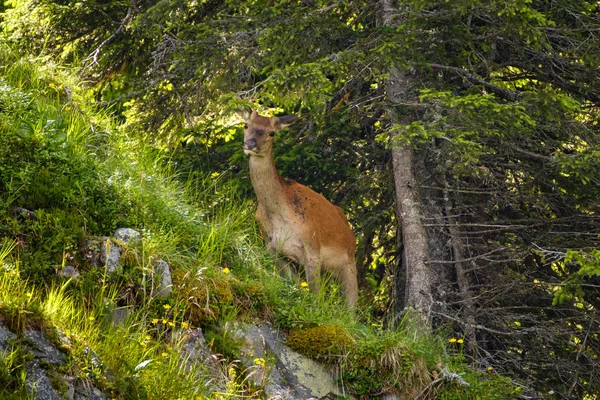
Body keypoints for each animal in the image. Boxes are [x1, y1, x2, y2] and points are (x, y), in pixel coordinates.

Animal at [243, 111, 358, 308]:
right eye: (246, 125)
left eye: (272, 133)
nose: (250, 144)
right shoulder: (271, 246)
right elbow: (296, 285)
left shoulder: (312, 246)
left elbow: (315, 295)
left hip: (349, 262)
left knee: (352, 308)